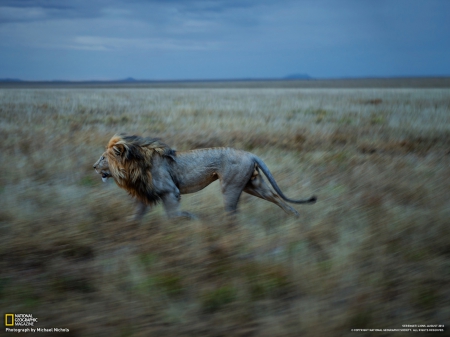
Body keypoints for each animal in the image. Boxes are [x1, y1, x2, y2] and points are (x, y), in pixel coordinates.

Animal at [92, 134, 316, 220]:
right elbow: (136, 216)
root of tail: (250, 153)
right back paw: (294, 216)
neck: (133, 165)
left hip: (231, 186)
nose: (93, 167)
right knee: (275, 197)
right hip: (252, 185)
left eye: (103, 157)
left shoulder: (170, 191)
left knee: (232, 213)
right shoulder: (145, 195)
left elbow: (174, 216)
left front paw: (191, 219)